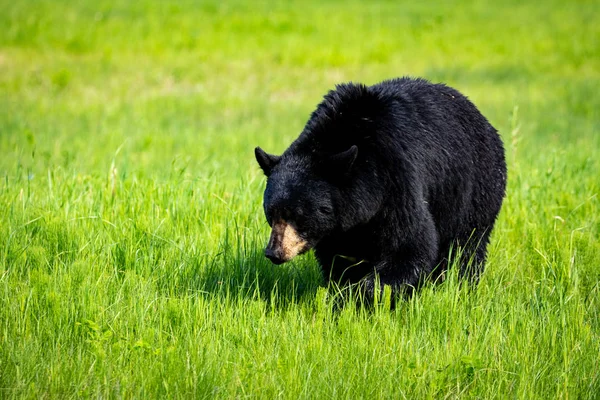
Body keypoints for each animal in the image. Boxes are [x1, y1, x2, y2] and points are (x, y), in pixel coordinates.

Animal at [254, 77, 506, 296]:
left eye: (298, 215)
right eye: (270, 213)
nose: (274, 252)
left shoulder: (395, 180)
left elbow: (409, 245)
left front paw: (366, 294)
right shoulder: (337, 227)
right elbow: (338, 262)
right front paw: (342, 292)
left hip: (476, 188)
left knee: (468, 245)